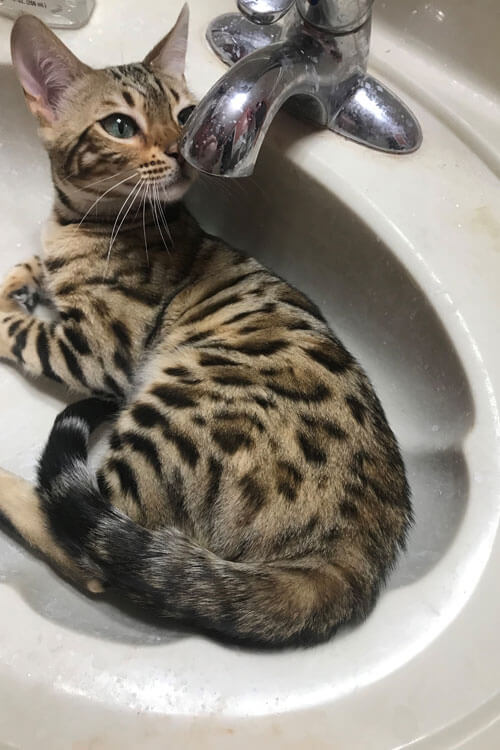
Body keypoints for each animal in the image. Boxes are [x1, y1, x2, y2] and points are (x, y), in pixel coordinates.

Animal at [0, 5, 410, 648]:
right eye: (119, 124)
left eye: (185, 115)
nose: (181, 150)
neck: (87, 220)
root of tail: (360, 548)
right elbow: (31, 273)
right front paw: (24, 274)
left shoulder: (96, 349)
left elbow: (19, 328)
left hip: (172, 405)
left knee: (91, 550)